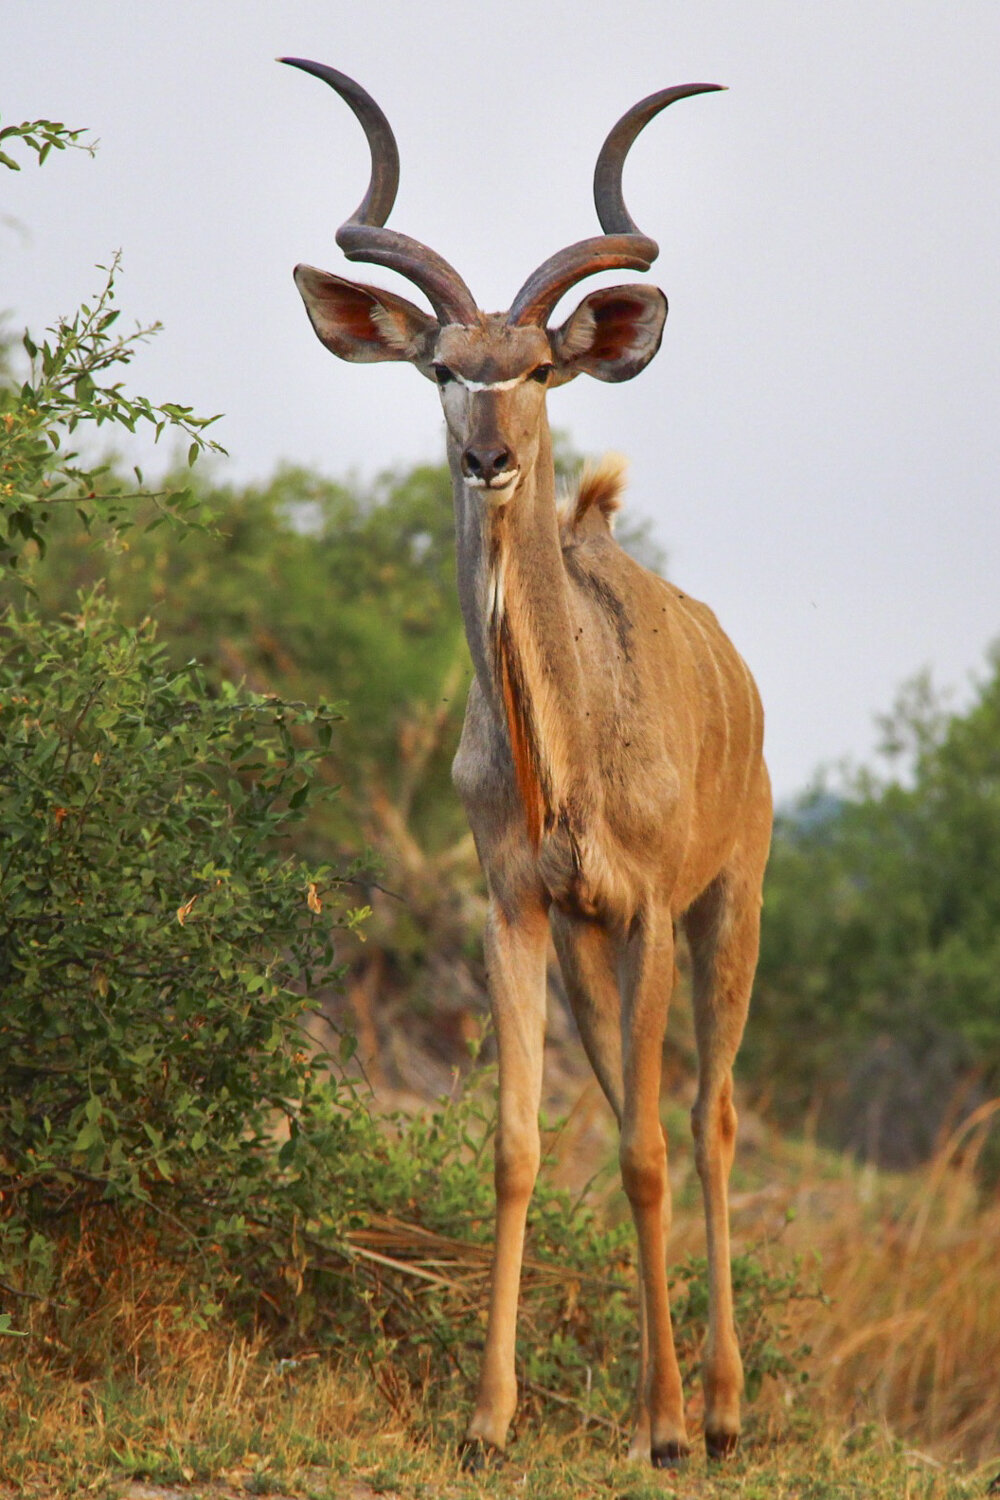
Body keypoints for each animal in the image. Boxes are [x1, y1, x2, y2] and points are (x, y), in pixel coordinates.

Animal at [281, 58, 773, 1464]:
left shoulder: (652, 906)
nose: (488, 455)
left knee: (708, 1123)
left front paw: (665, 1428)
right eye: (443, 367)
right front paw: (489, 1419)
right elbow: (518, 1144)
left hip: (730, 908)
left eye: (545, 366)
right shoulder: (518, 907)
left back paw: (719, 1408)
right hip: (593, 954)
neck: (569, 753)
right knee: (635, 1111)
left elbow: (655, 1151)